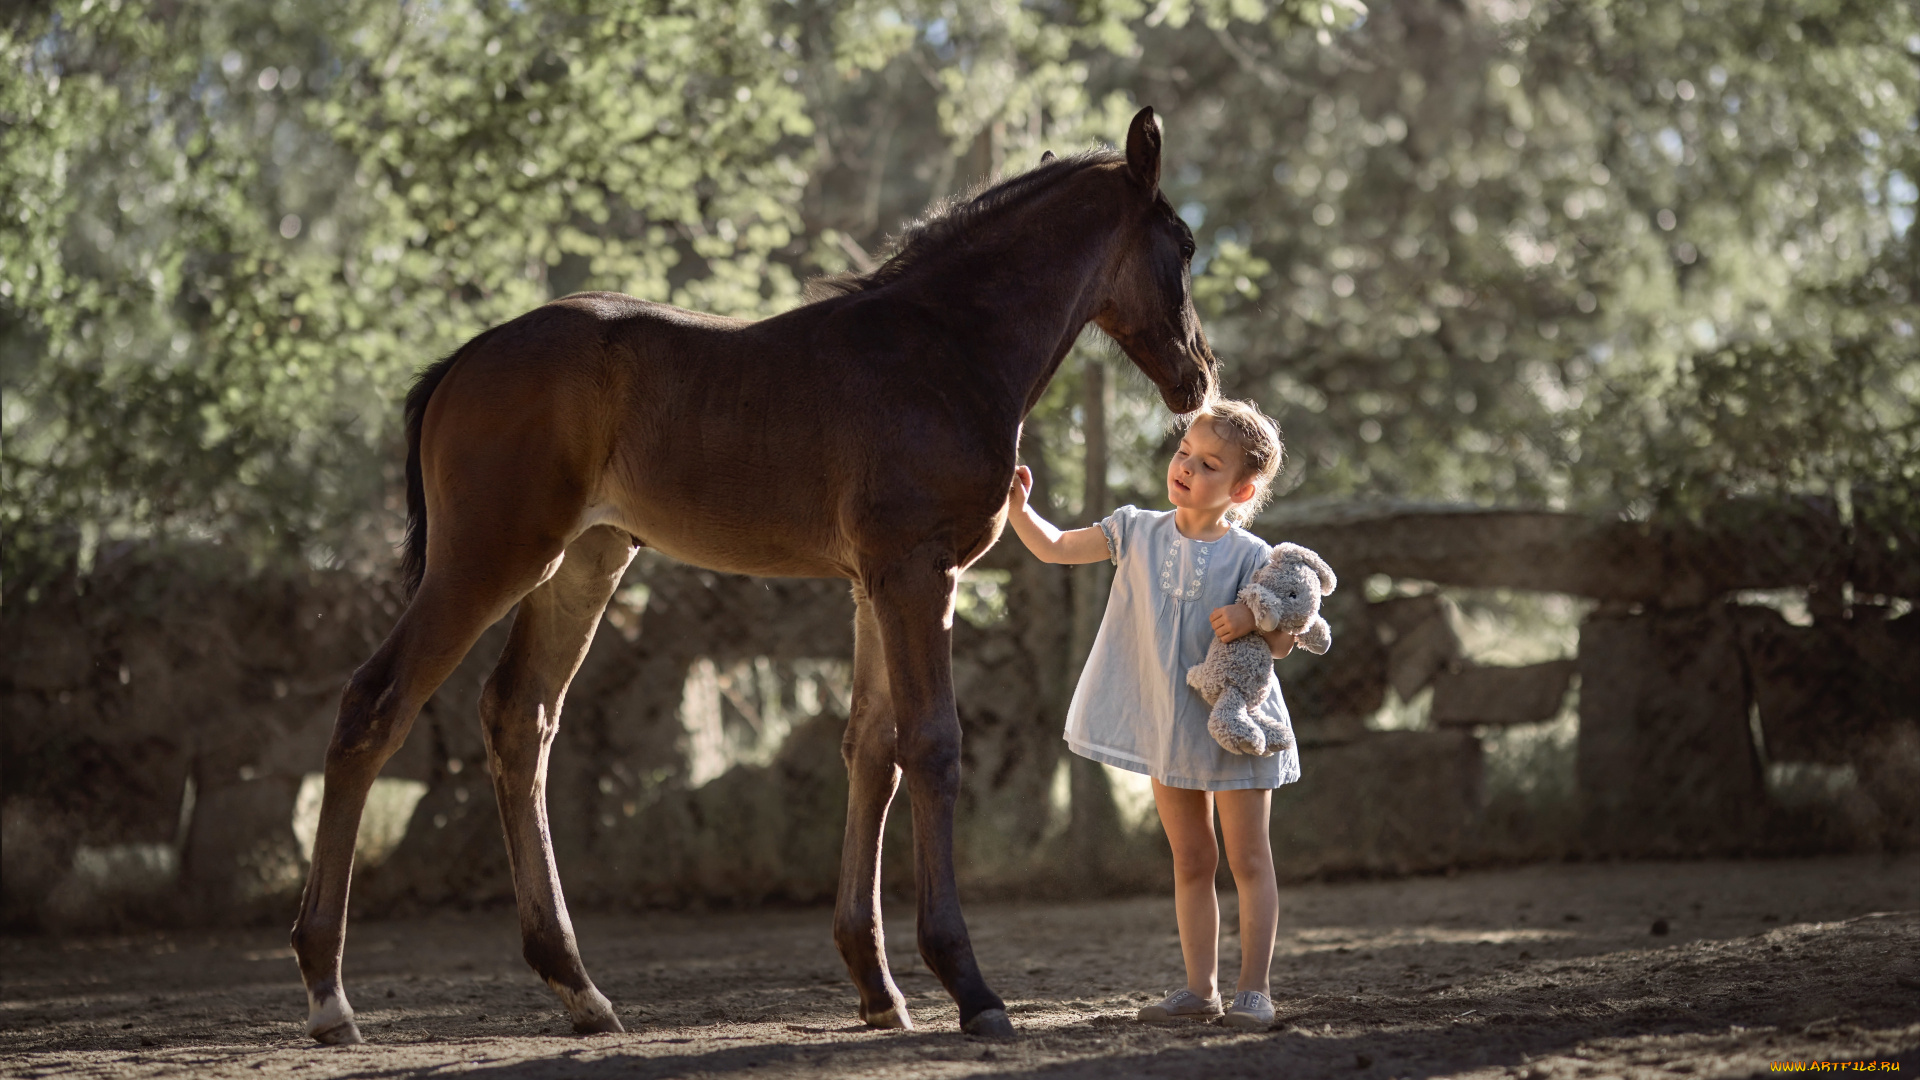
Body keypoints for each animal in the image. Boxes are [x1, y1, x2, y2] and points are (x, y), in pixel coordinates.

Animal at [288, 105, 1213, 1037]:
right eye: (1185, 243)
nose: (1199, 378)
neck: (947, 348)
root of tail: (461, 362)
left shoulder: (872, 583)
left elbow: (870, 749)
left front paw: (877, 986)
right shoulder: (919, 572)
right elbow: (932, 744)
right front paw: (969, 986)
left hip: (585, 559)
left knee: (520, 716)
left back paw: (579, 987)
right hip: (490, 555)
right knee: (375, 704)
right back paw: (329, 993)